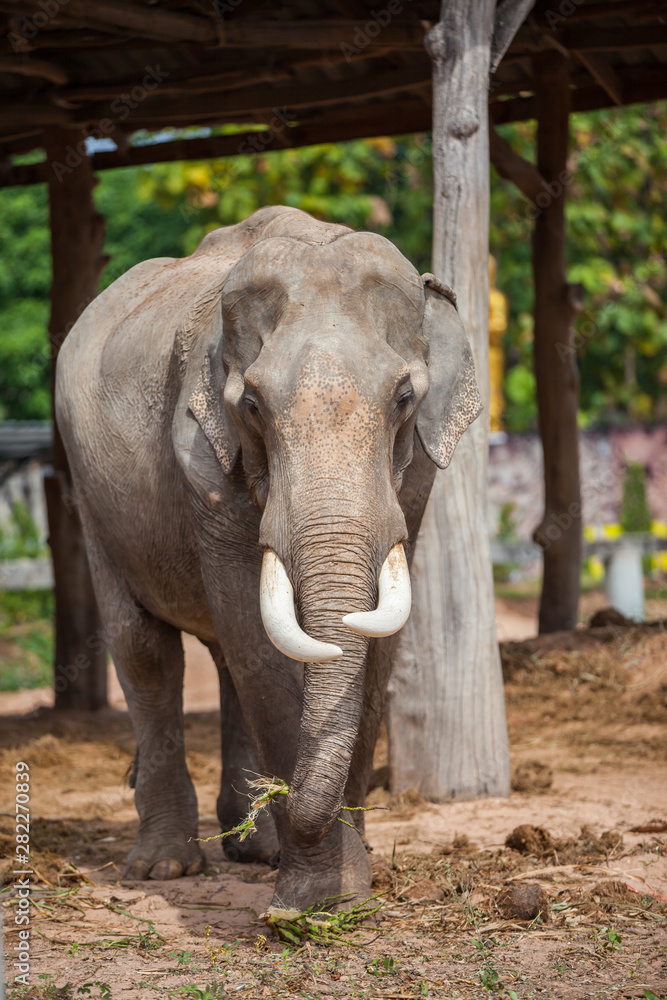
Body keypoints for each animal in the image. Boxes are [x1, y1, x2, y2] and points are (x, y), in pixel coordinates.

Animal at [56, 205, 481, 911]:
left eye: (403, 399)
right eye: (251, 406)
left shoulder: (415, 480)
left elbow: (374, 644)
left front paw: (345, 884)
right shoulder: (202, 464)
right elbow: (256, 639)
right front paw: (317, 897)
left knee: (221, 658)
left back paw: (253, 850)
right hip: (89, 492)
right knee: (144, 647)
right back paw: (167, 867)